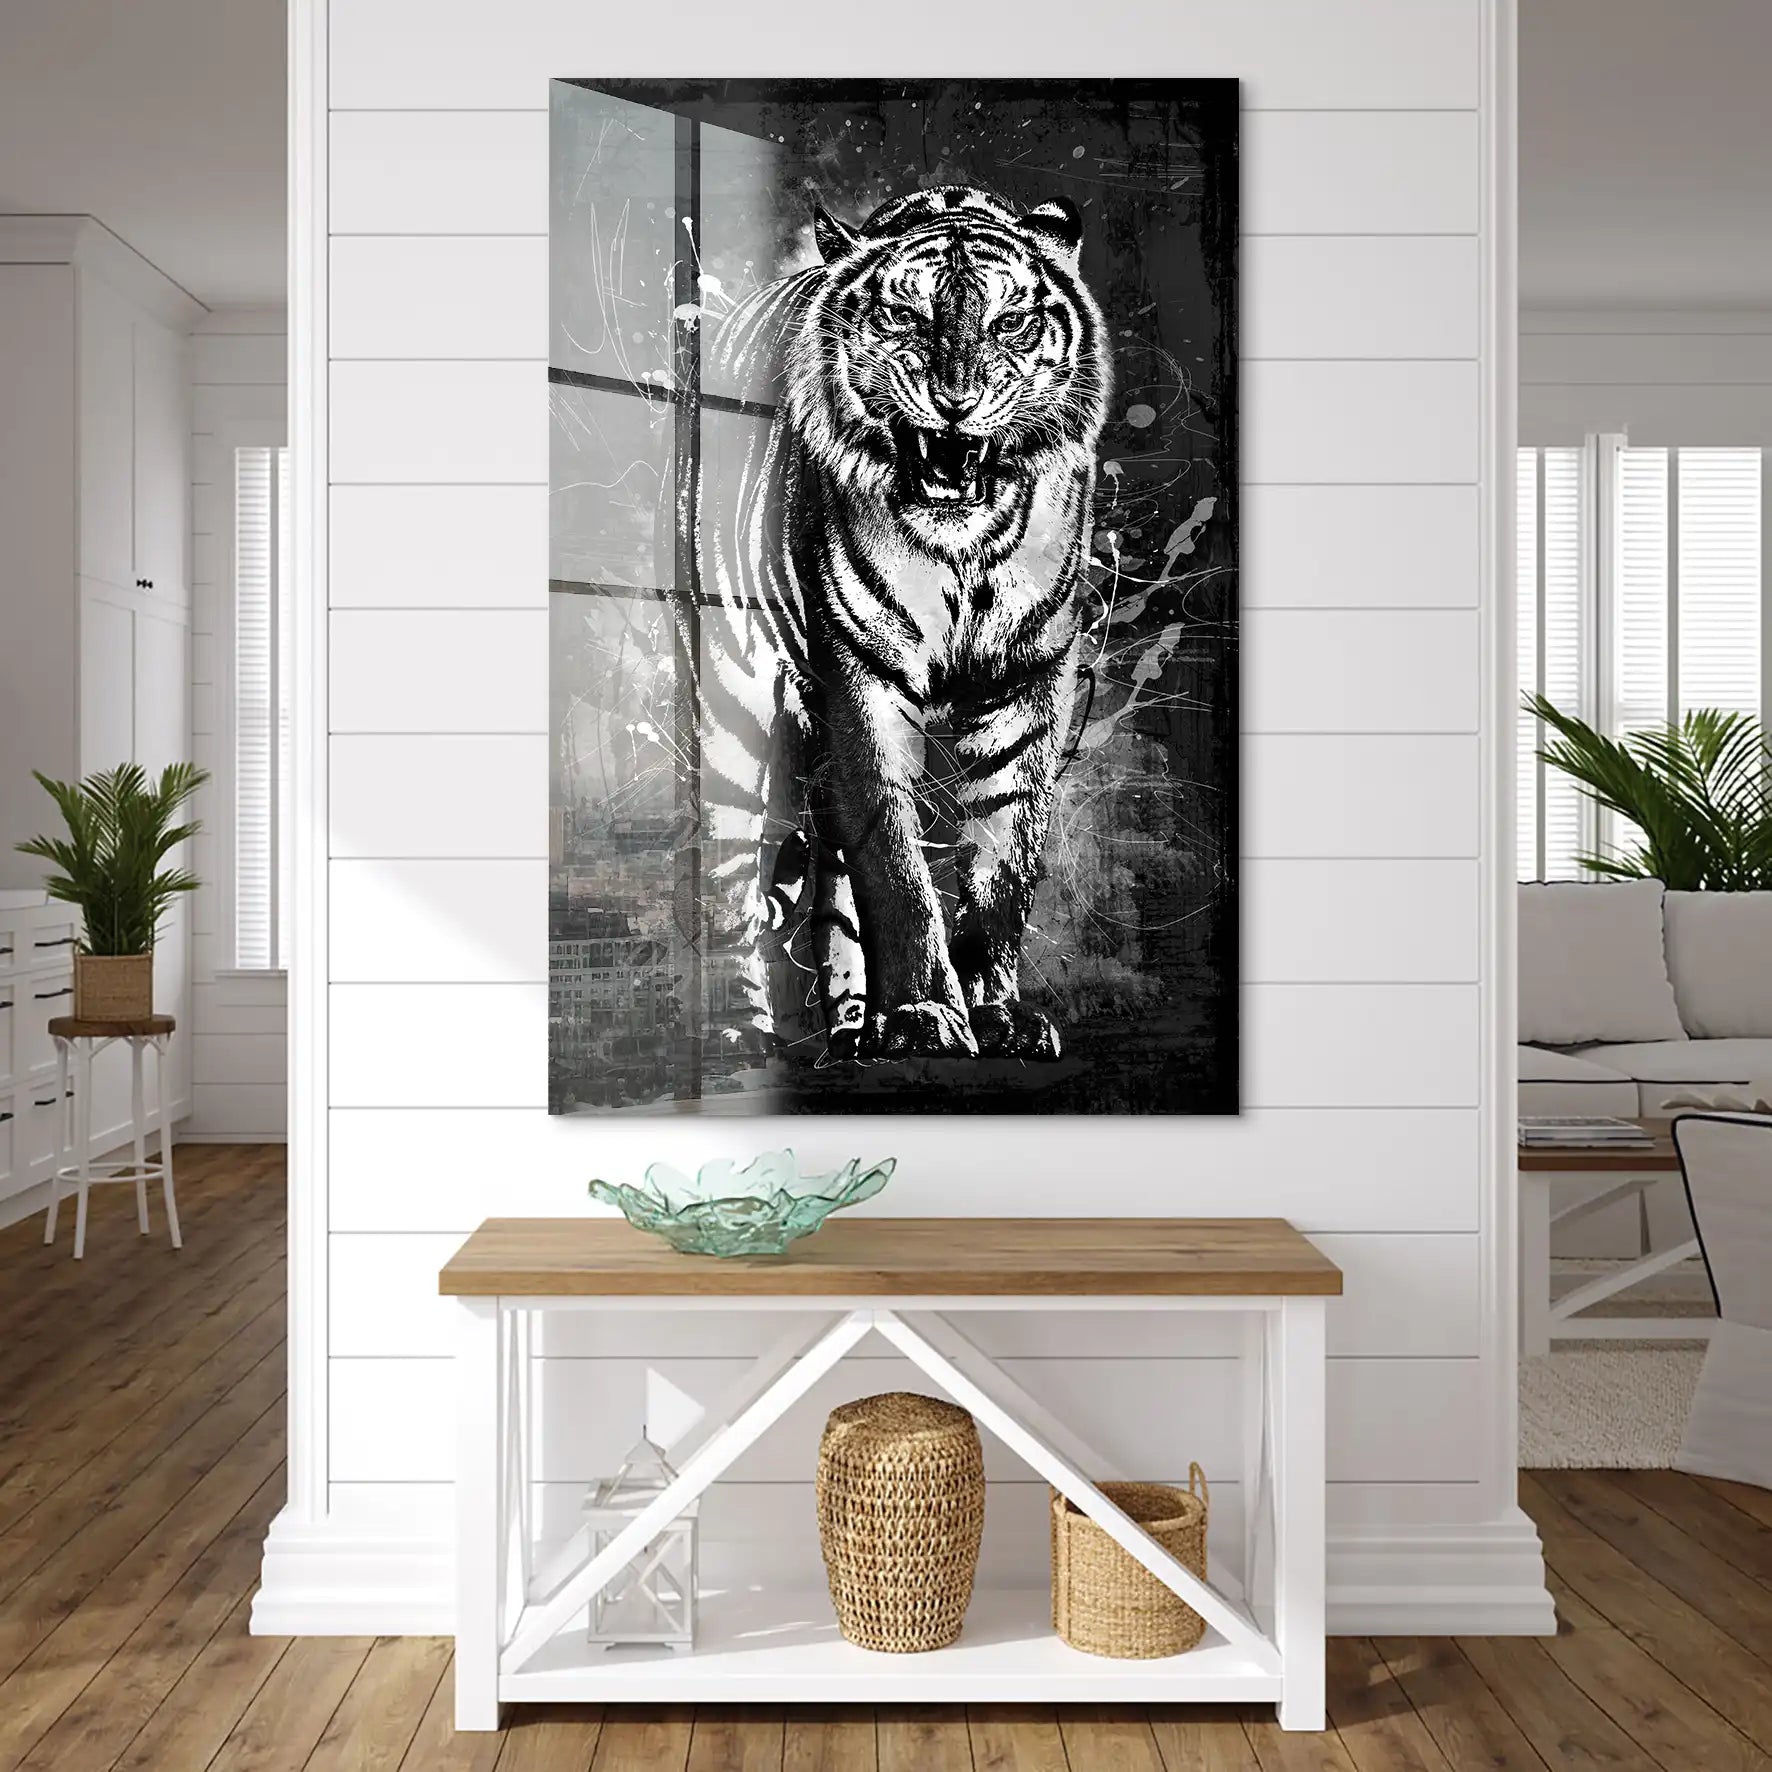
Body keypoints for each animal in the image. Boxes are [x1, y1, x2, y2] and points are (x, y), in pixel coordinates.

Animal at [689, 184, 1111, 1066]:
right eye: (905, 317)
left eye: (1009, 322)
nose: (956, 404)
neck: (964, 553)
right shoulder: (863, 679)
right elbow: (894, 865)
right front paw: (921, 1015)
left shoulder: (1028, 683)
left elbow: (1003, 864)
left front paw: (999, 1017)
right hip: (736, 719)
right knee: (733, 875)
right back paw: (747, 1032)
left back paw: (853, 1027)